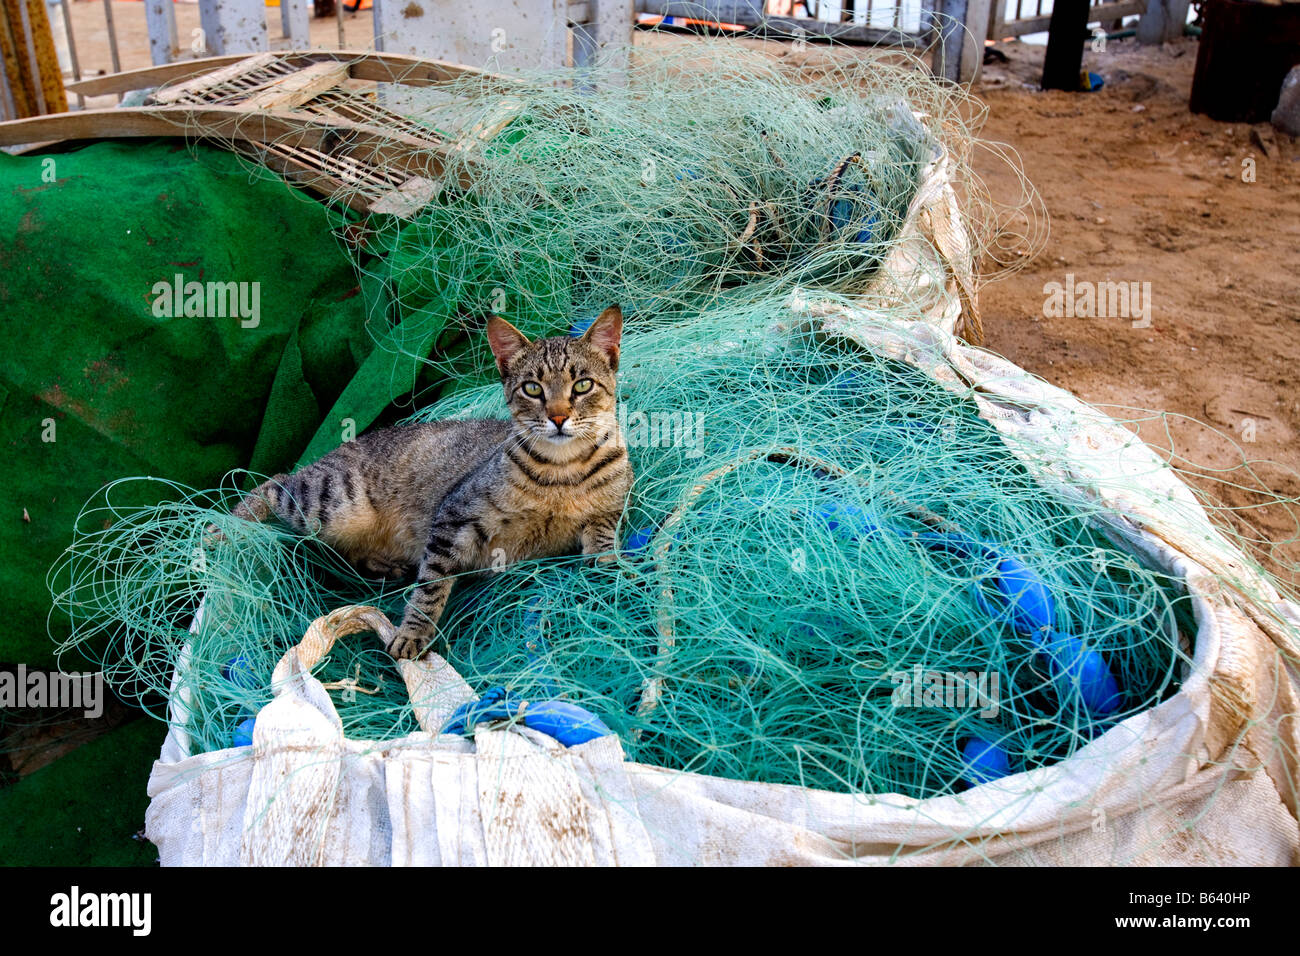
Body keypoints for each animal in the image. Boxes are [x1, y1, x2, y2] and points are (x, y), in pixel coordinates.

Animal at [235, 304, 639, 658]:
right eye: (533, 389)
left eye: (583, 385)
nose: (557, 417)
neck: (562, 472)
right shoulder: (453, 518)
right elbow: (429, 588)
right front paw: (412, 633)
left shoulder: (609, 511)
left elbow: (603, 537)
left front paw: (611, 567)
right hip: (332, 502)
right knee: (275, 481)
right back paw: (228, 528)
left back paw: (384, 564)